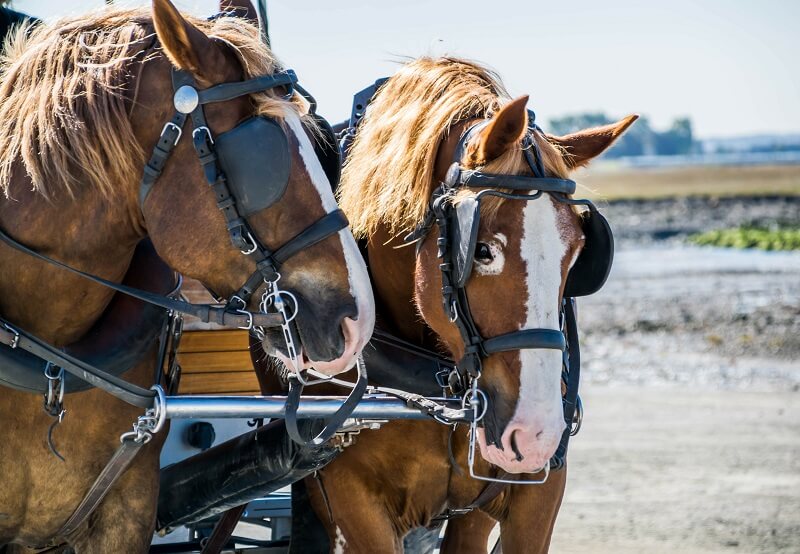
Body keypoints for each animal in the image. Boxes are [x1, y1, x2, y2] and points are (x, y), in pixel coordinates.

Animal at [260, 57, 636, 552]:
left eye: (578, 253)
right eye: (481, 250)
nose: (535, 431)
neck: (438, 383)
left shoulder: (528, 498)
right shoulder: (349, 502)